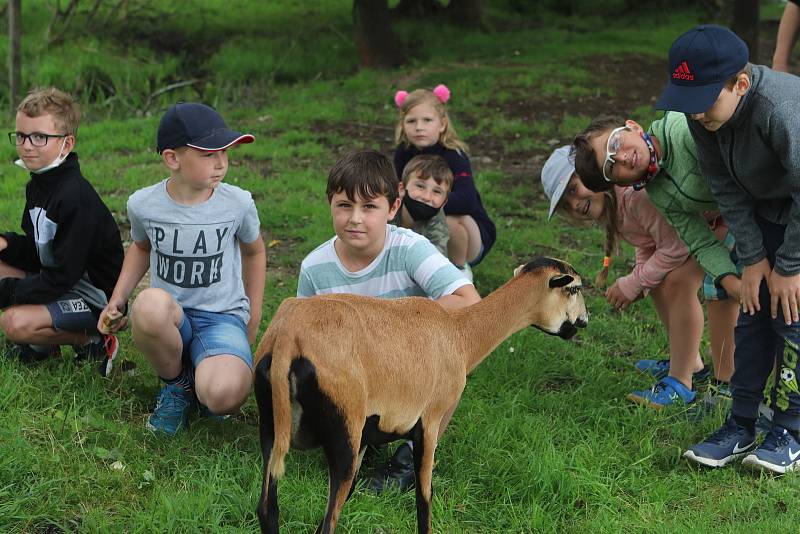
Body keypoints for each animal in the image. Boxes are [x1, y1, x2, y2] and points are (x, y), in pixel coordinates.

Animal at [255, 258, 588, 532]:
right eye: (574, 288)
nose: (583, 322)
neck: (460, 334)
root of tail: (287, 337)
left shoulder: (365, 436)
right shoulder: (429, 423)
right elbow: (423, 503)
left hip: (273, 427)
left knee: (267, 510)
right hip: (342, 432)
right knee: (326, 524)